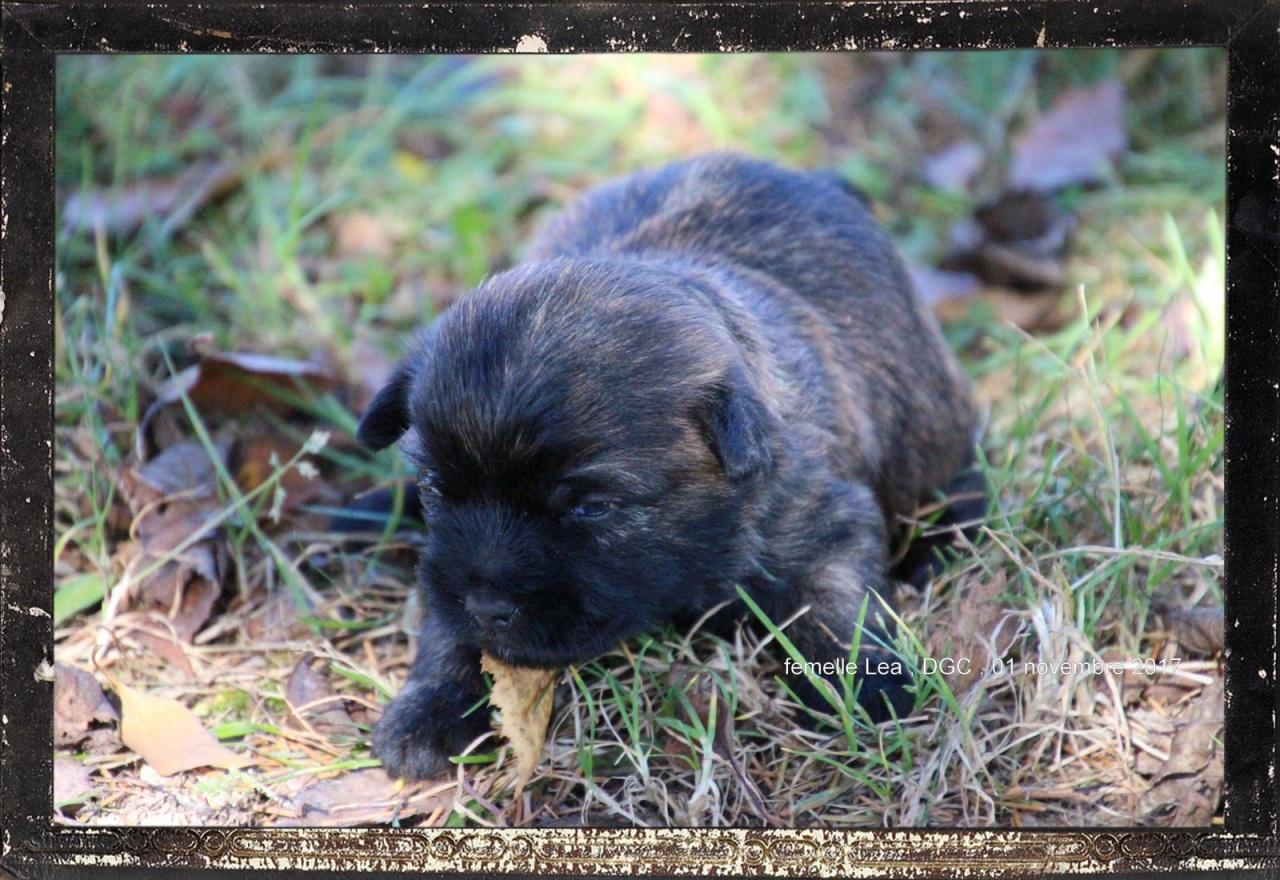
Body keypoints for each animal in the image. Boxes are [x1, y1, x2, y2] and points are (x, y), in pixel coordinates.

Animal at [355, 154, 972, 782]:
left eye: (591, 508)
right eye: (435, 489)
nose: (487, 607)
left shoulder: (828, 522)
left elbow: (838, 603)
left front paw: (867, 688)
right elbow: (446, 631)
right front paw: (429, 708)